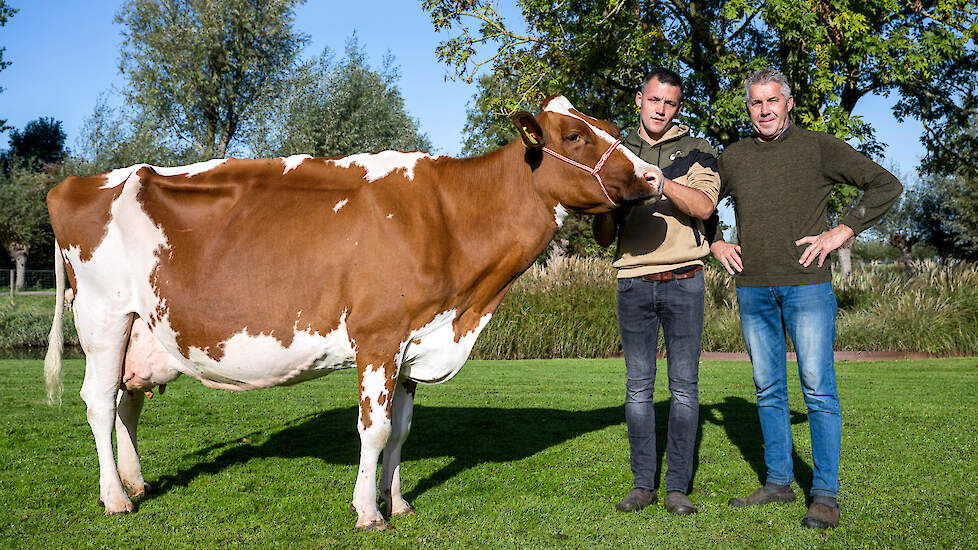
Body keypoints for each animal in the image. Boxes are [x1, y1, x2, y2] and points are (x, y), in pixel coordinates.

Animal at [42, 97, 660, 532]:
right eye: (575, 136)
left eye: (605, 124)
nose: (652, 178)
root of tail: (81, 181)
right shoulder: (379, 336)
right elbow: (375, 428)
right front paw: (368, 511)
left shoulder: (415, 339)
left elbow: (403, 429)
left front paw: (400, 501)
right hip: (102, 319)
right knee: (99, 401)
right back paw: (116, 499)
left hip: (141, 329)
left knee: (129, 402)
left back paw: (137, 483)